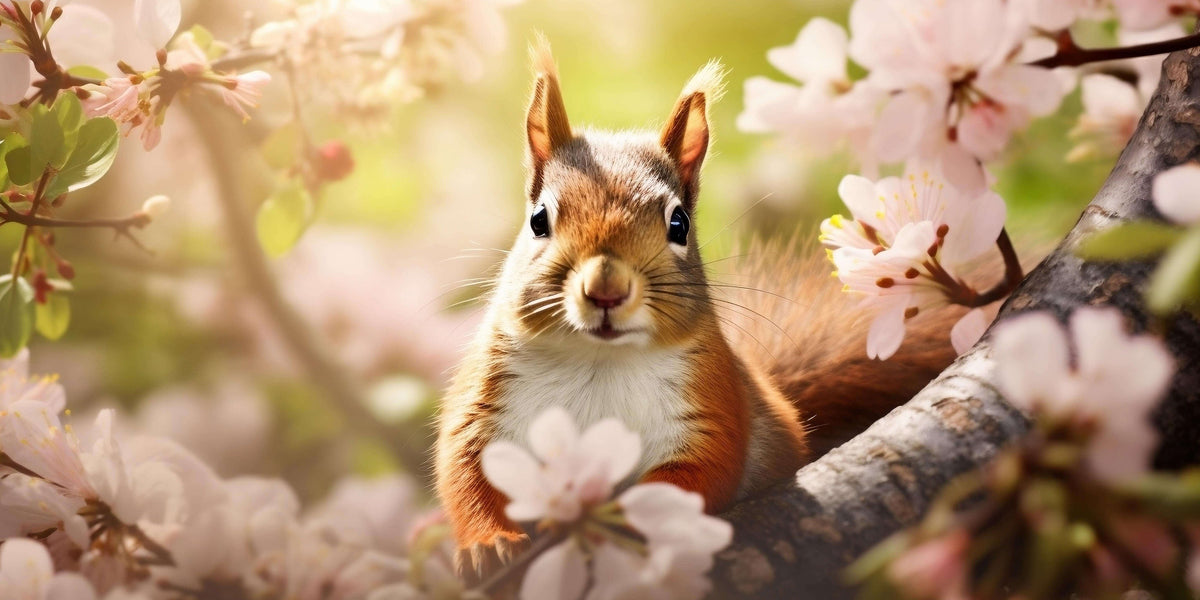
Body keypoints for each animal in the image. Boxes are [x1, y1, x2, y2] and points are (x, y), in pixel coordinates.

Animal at [435, 41, 960, 580]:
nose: (606, 290)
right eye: (538, 219)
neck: (600, 359)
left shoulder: (711, 400)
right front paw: (489, 545)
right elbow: (466, 469)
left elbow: (696, 473)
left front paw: (618, 521)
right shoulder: (486, 398)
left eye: (679, 223)